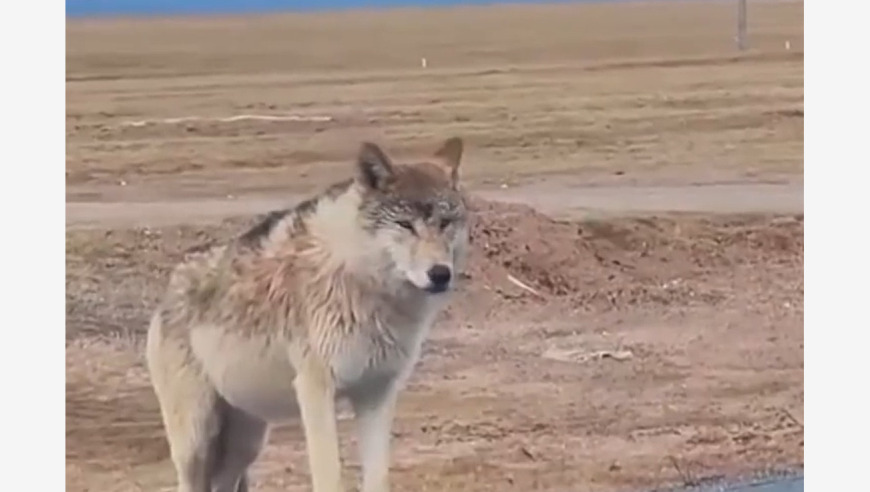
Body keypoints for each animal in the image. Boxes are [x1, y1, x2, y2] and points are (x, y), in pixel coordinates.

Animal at [146, 137, 470, 492]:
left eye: (445, 223)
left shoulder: (377, 394)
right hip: (196, 443)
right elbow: (329, 476)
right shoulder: (315, 390)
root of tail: (167, 291)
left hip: (247, 443)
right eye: (405, 225)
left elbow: (377, 476)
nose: (440, 274)